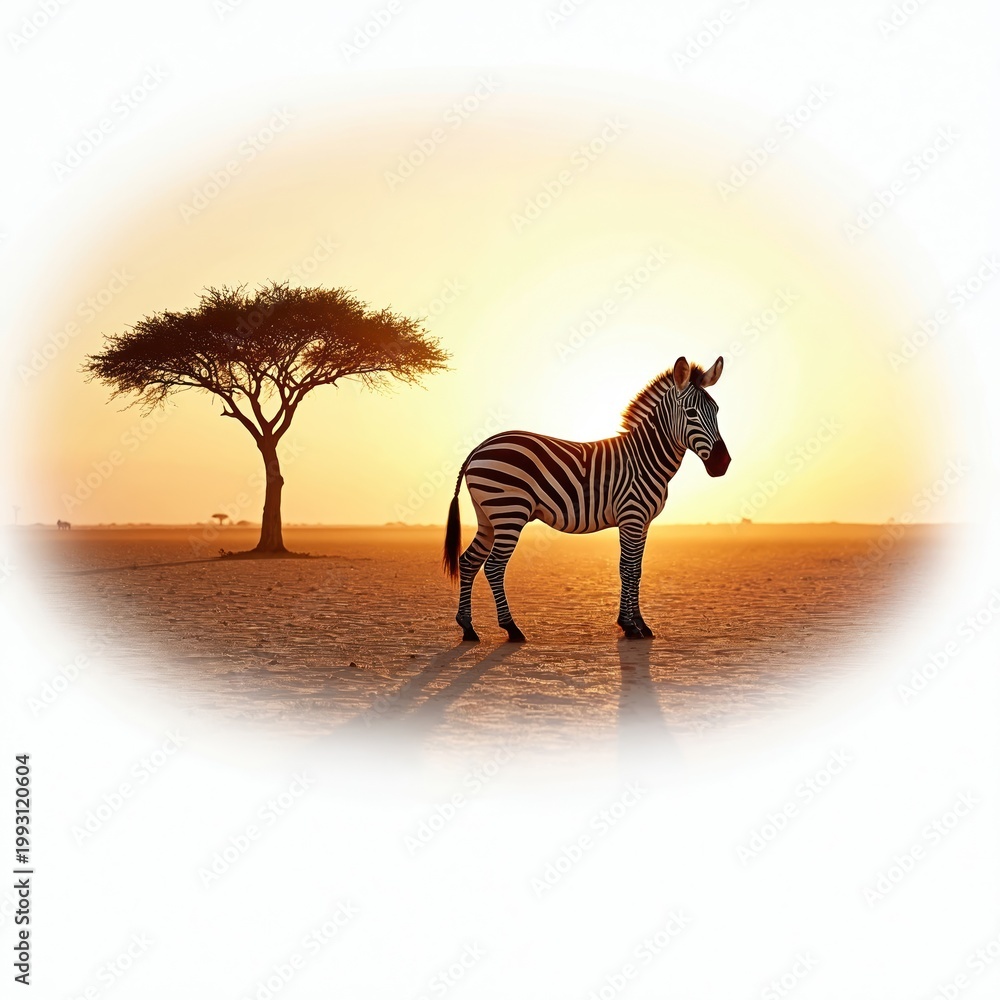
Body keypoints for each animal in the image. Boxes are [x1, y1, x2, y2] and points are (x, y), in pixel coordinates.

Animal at [443, 356, 730, 642]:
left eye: (717, 411)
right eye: (691, 413)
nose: (722, 463)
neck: (645, 458)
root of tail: (480, 446)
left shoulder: (644, 522)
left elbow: (637, 570)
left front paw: (640, 624)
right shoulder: (631, 516)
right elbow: (627, 568)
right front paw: (629, 626)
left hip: (488, 516)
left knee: (468, 561)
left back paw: (468, 628)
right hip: (509, 512)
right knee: (493, 567)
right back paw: (511, 628)